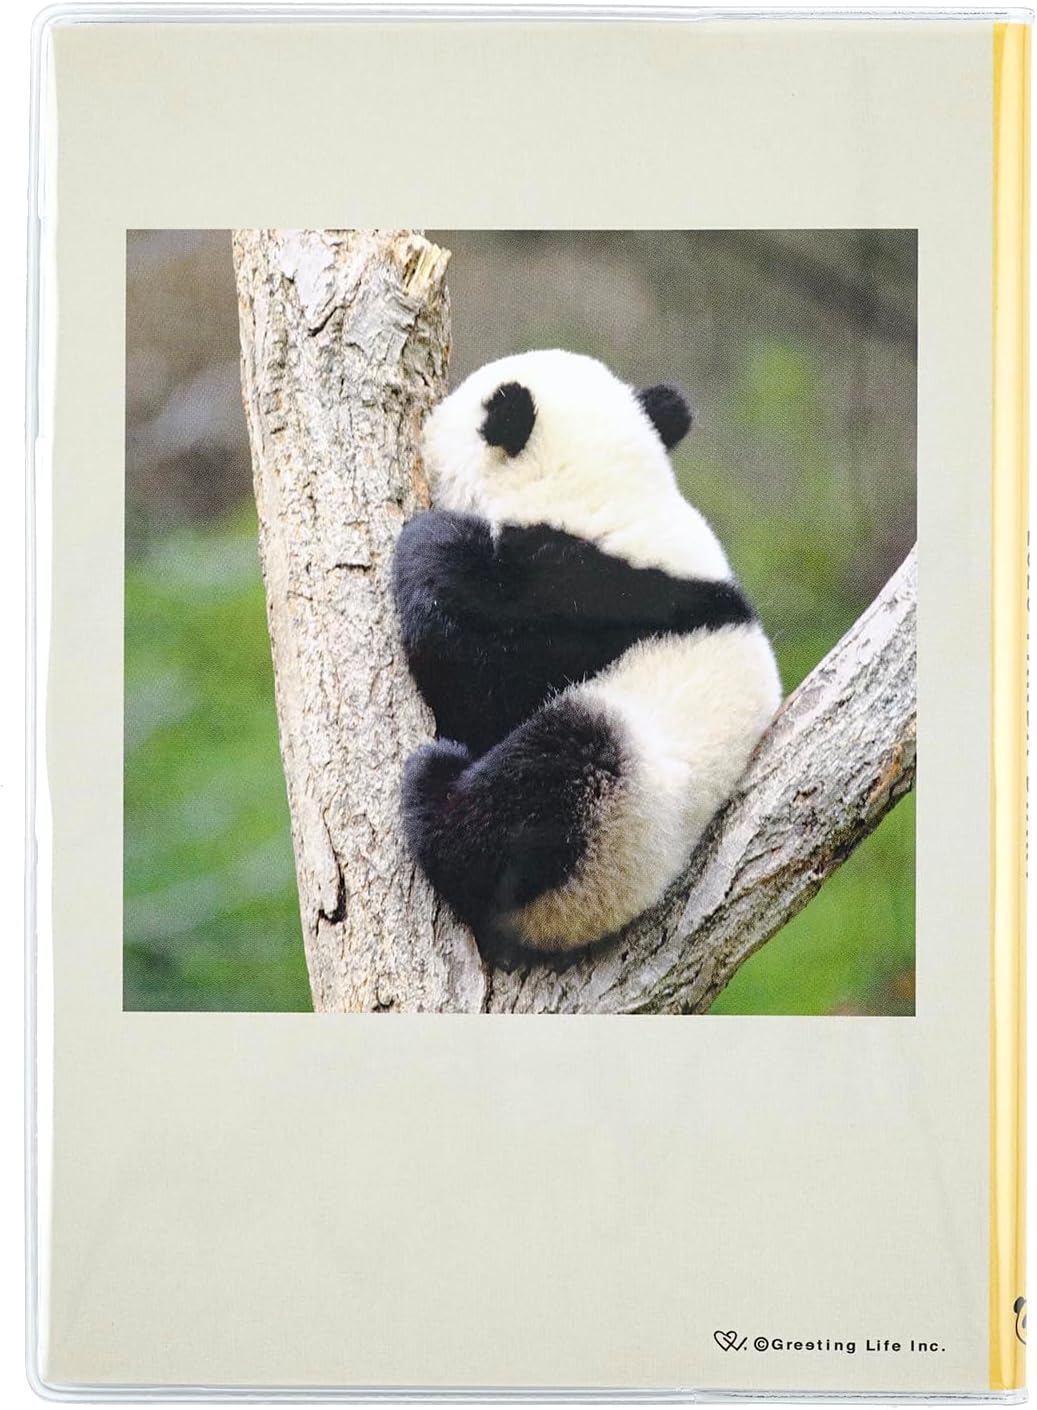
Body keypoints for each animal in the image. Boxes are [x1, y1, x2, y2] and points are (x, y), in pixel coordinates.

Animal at [392, 348, 781, 960]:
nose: (422, 437)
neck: (599, 491)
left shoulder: (586, 598)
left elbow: (484, 672)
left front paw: (430, 544)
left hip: (618, 812)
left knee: (551, 777)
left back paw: (436, 794)